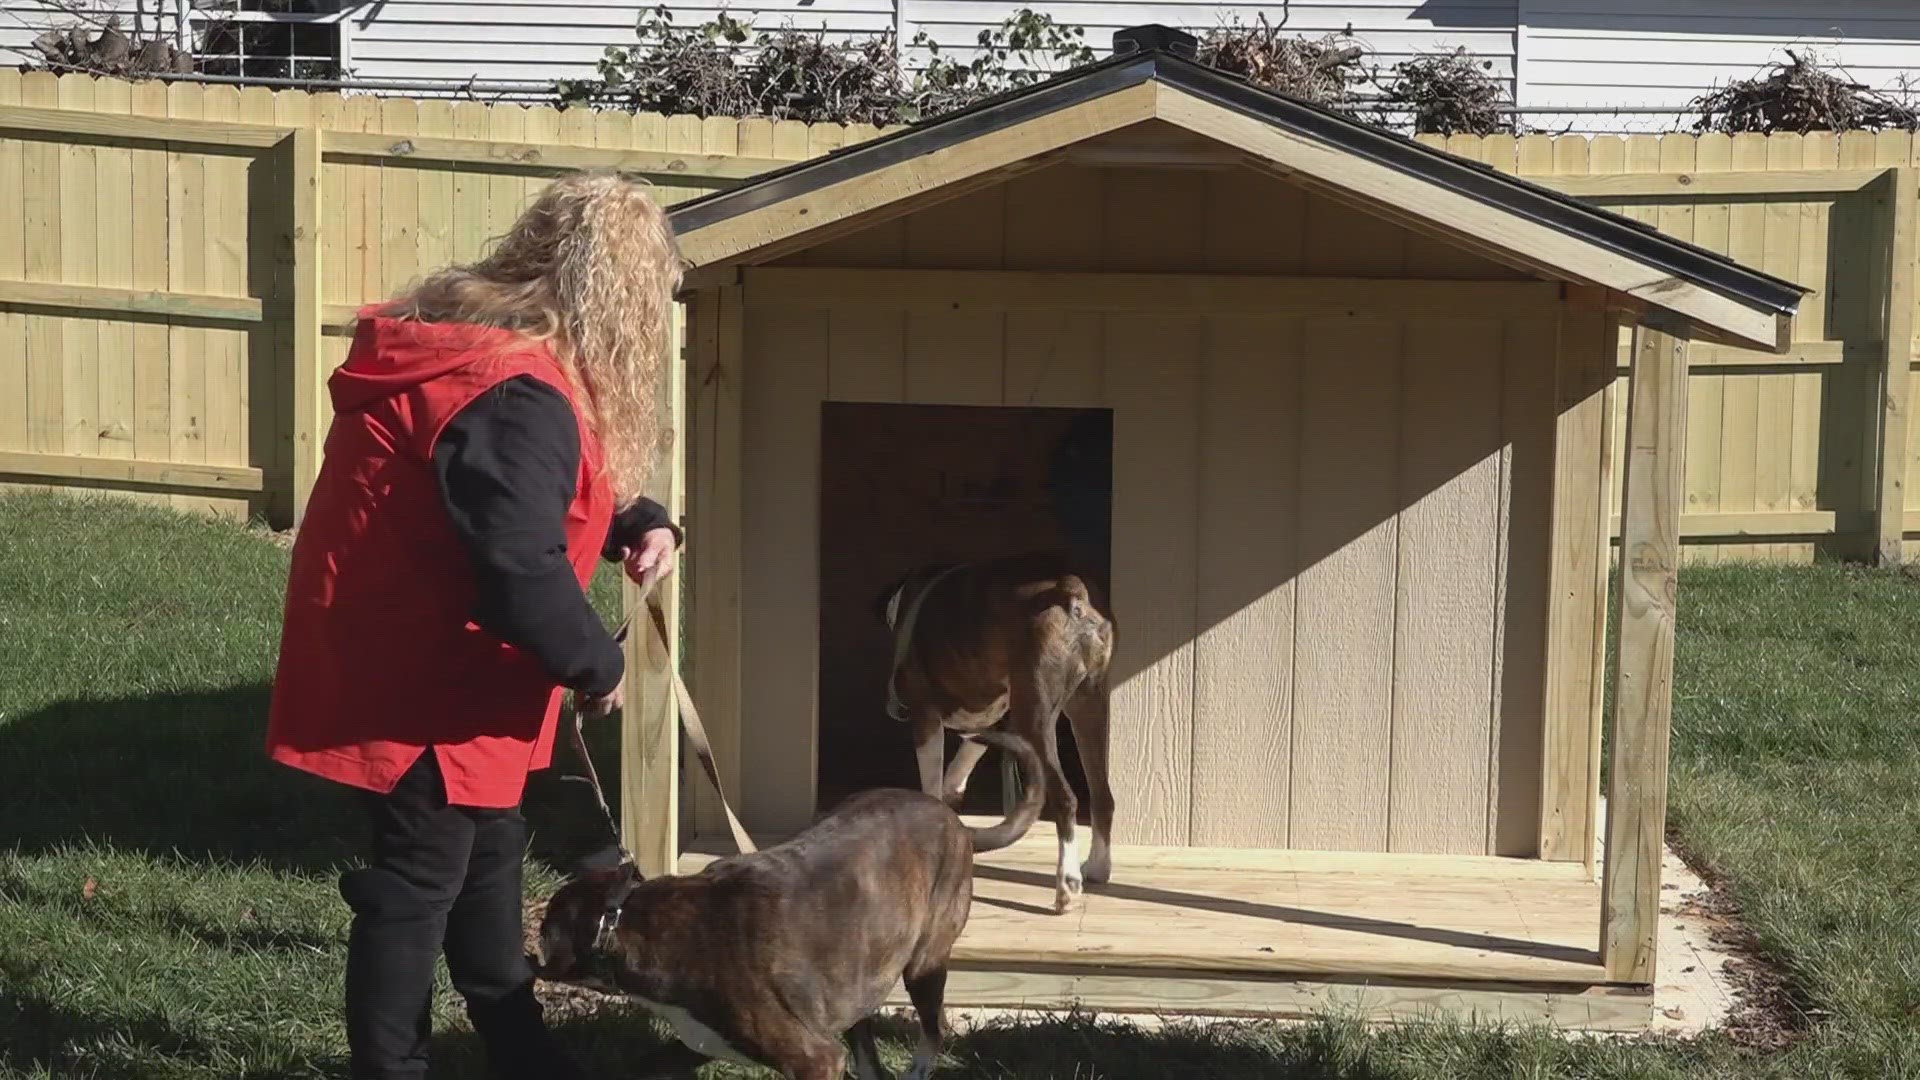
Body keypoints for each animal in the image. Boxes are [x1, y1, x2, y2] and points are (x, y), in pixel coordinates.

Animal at [879, 549, 1121, 910]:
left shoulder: (925, 718)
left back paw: (1066, 883)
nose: (894, 705)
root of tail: (1069, 588)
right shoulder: (992, 722)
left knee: (1065, 797)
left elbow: (932, 784)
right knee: (1102, 794)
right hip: (1088, 707)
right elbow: (956, 771)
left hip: (1035, 718)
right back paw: (1098, 867)